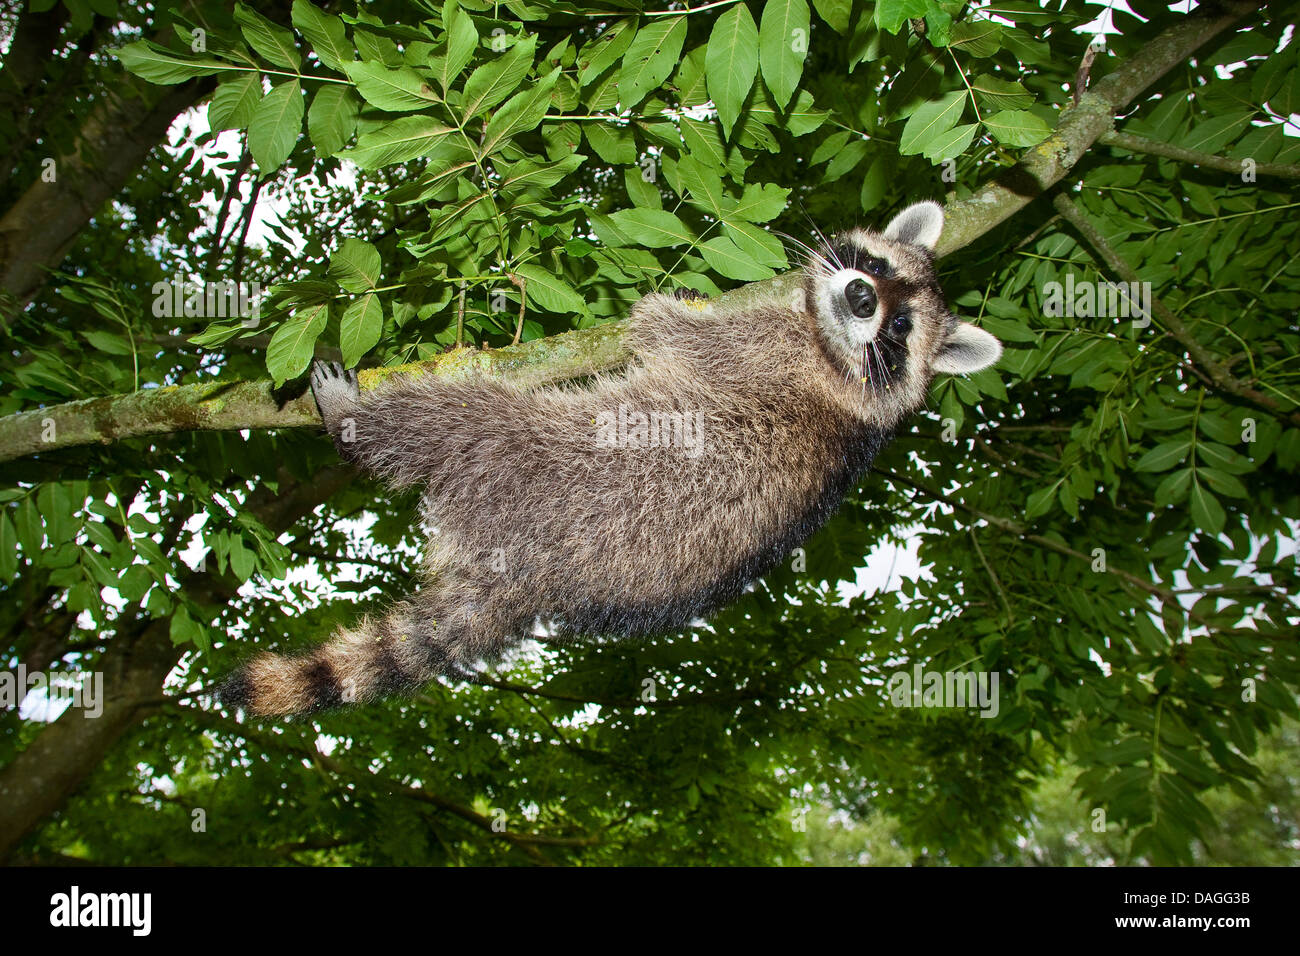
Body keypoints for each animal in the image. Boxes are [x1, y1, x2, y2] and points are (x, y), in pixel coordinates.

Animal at [218, 201, 998, 712]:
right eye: (877, 265)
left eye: (899, 326)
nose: (861, 294)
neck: (842, 367)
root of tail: (527, 579)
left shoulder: (769, 349)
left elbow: (686, 340)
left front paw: (661, 309)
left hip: (524, 463)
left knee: (460, 419)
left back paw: (358, 424)